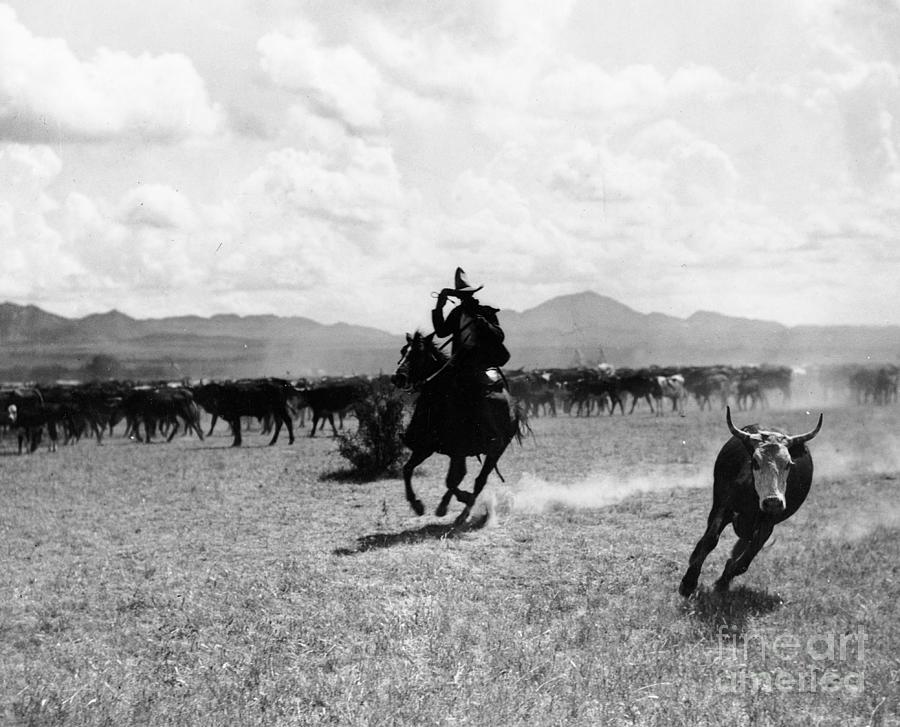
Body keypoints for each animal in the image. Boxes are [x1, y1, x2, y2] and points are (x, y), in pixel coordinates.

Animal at [388, 332, 528, 528]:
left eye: (418, 353)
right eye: (403, 351)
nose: (397, 377)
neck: (441, 402)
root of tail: (514, 406)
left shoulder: (458, 450)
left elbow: (452, 480)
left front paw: (460, 500)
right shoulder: (426, 448)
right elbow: (408, 469)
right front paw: (418, 505)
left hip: (496, 450)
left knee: (479, 480)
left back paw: (463, 514)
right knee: (460, 477)